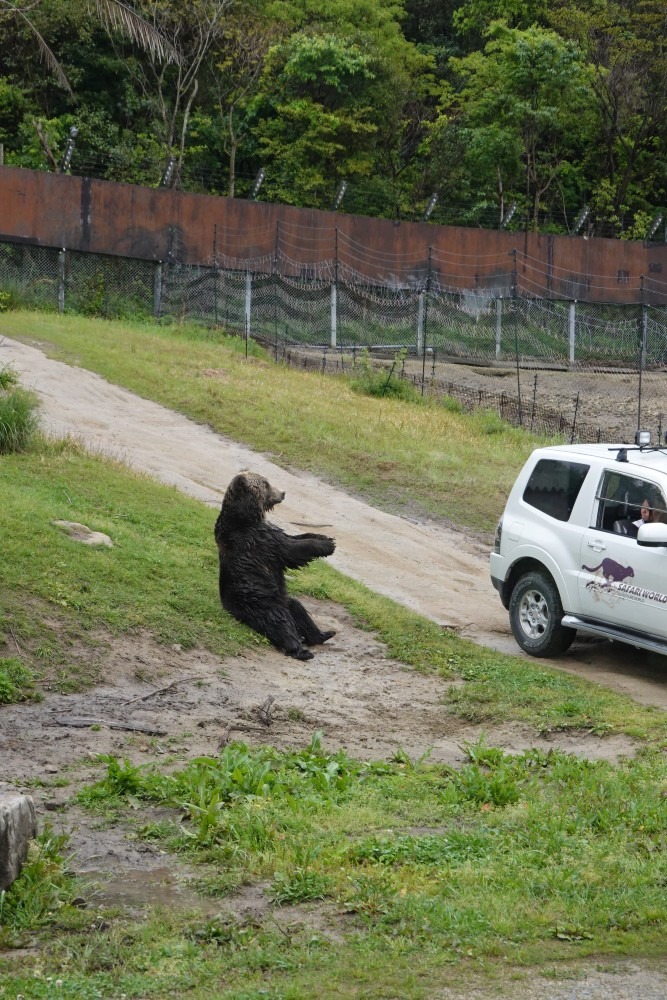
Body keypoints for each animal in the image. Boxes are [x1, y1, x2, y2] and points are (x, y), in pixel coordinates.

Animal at [215, 472, 336, 660]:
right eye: (266, 483)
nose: (283, 493)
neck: (246, 516)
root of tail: (234, 613)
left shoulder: (265, 531)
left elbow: (292, 537)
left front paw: (325, 537)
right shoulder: (258, 539)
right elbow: (290, 550)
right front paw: (327, 546)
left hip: (282, 599)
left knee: (298, 609)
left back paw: (323, 634)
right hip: (261, 603)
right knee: (280, 623)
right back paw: (301, 650)